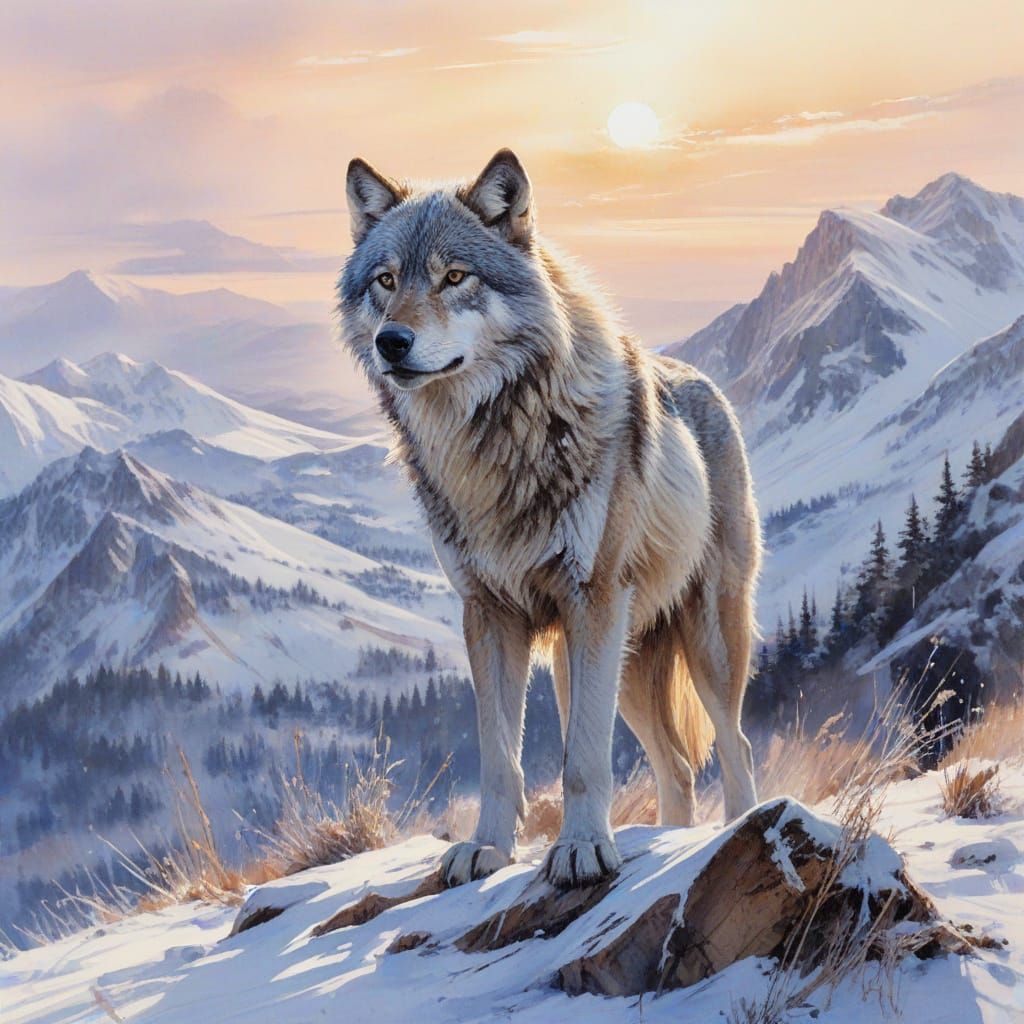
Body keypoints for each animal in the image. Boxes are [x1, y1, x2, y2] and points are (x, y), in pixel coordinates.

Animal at [338, 149, 761, 889]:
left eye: (455, 277)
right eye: (385, 281)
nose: (393, 342)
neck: (491, 446)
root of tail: (705, 383)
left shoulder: (592, 601)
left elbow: (583, 760)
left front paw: (583, 849)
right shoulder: (488, 614)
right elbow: (500, 759)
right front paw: (487, 849)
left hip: (697, 641)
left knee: (735, 745)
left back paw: (730, 832)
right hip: (610, 664)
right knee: (678, 767)